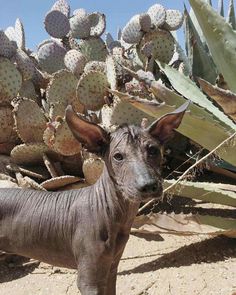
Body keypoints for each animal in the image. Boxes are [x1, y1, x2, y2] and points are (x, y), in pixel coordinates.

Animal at [0, 101, 188, 294]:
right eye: (118, 156)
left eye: (153, 150)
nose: (149, 185)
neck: (110, 212)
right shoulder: (88, 282)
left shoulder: (111, 270)